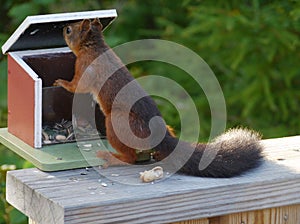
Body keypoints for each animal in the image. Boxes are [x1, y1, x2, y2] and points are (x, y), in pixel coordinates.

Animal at [53, 18, 262, 178]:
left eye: (70, 30)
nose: (63, 28)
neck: (95, 46)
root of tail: (161, 136)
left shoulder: (85, 66)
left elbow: (77, 86)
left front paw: (61, 82)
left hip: (116, 123)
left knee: (130, 158)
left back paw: (111, 157)